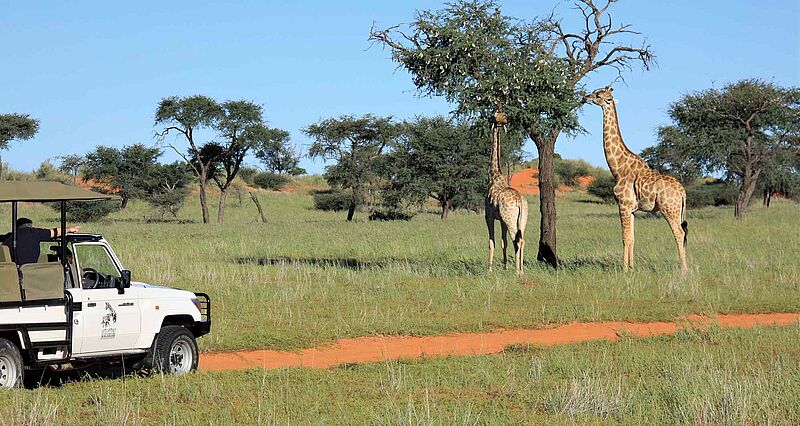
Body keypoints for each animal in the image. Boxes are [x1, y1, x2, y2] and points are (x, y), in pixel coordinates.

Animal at [484, 111, 528, 274]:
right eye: (500, 115)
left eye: (494, 114)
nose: (505, 119)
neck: (494, 175)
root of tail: (520, 201)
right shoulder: (501, 220)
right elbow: (504, 242)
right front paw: (504, 266)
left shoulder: (488, 216)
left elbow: (492, 242)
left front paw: (489, 269)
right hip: (522, 219)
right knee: (521, 239)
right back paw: (521, 269)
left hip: (511, 219)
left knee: (517, 239)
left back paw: (518, 271)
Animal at [580, 87, 688, 272]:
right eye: (594, 92)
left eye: (599, 95)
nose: (585, 97)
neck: (618, 167)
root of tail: (682, 192)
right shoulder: (632, 209)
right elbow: (632, 238)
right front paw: (631, 267)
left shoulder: (623, 204)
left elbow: (625, 238)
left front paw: (624, 269)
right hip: (677, 211)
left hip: (669, 209)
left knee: (680, 233)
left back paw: (684, 270)